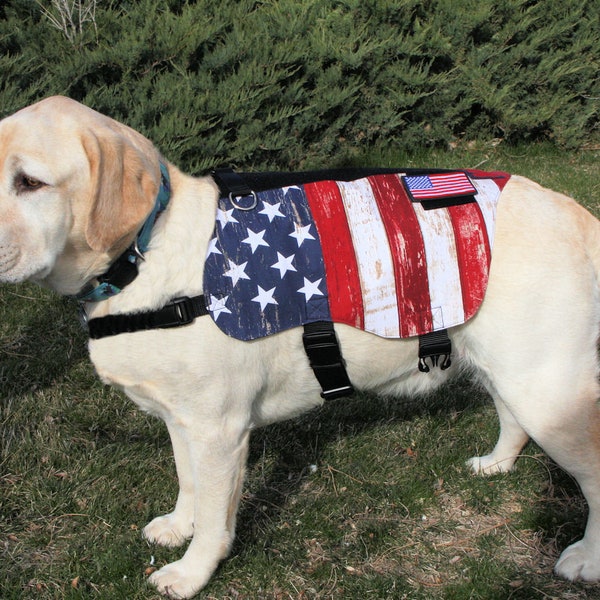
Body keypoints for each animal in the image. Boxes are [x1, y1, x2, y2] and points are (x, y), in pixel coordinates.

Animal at [1, 95, 600, 596]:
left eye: (29, 182)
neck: (143, 258)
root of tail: (576, 213)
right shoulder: (182, 418)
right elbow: (187, 481)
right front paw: (178, 526)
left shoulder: (220, 430)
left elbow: (215, 517)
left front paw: (192, 573)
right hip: (514, 372)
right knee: (512, 419)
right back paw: (497, 464)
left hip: (547, 388)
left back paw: (586, 559)